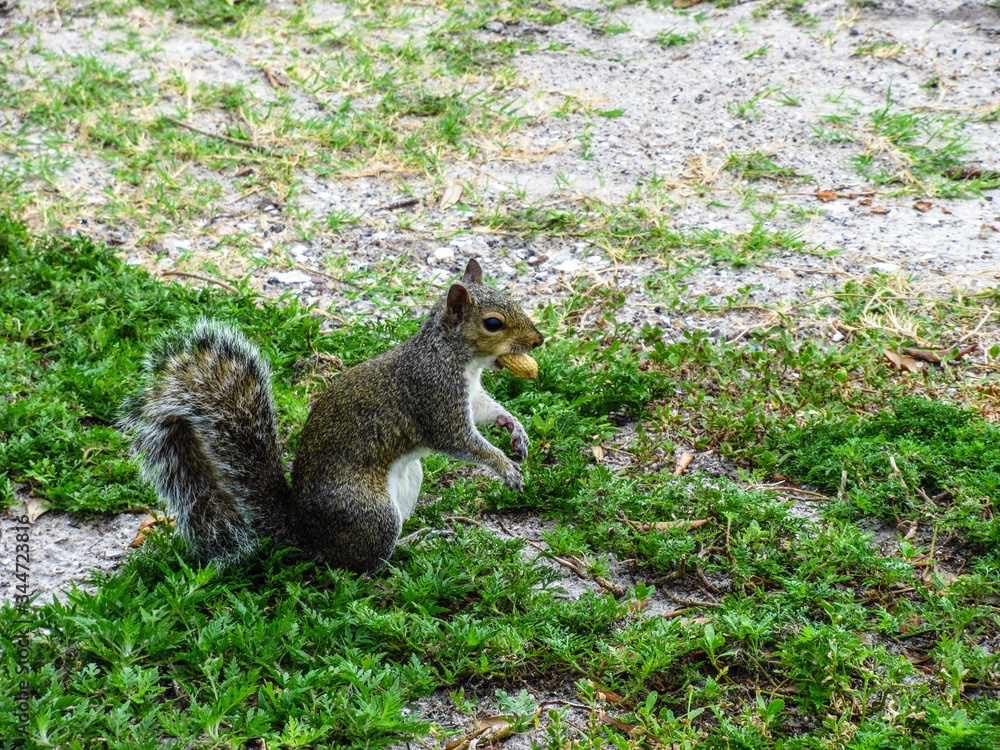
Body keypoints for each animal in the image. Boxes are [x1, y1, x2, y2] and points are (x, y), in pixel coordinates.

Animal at [121, 259, 544, 575]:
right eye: (493, 323)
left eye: (513, 299)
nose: (538, 341)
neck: (454, 357)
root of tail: (306, 536)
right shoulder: (433, 398)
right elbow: (460, 440)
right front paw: (504, 466)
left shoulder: (470, 396)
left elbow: (489, 411)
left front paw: (515, 430)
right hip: (369, 512)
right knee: (359, 567)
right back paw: (407, 552)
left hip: (407, 484)